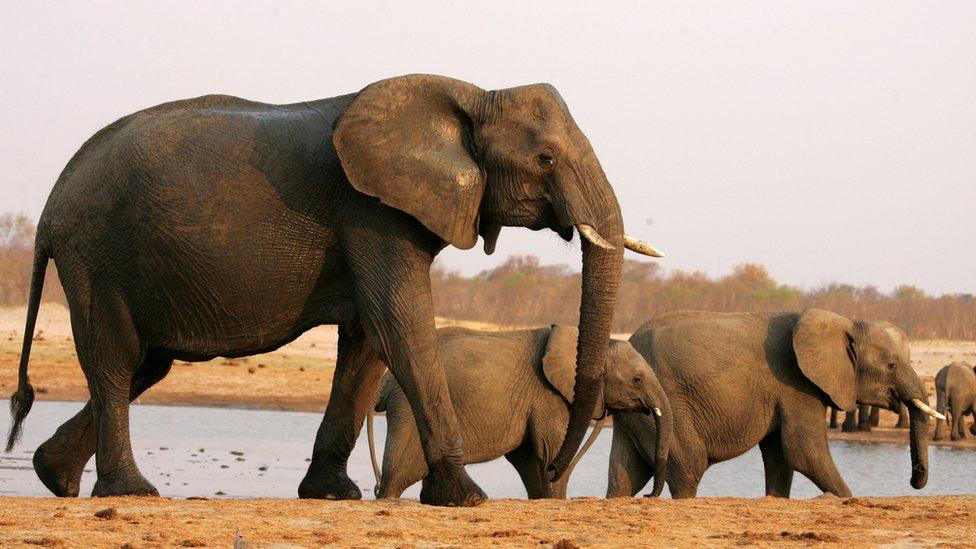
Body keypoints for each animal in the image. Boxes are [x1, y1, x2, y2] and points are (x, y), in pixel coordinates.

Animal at [3, 74, 660, 506]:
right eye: (545, 158)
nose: (552, 462)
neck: (473, 94)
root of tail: (51, 205)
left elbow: (368, 344)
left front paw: (333, 495)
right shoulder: (371, 209)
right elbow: (402, 329)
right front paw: (467, 499)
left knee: (144, 364)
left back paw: (53, 477)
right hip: (98, 254)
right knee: (116, 360)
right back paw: (132, 494)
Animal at [608, 308, 940, 496]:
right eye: (892, 366)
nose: (915, 480)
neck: (847, 322)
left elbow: (781, 455)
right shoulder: (797, 384)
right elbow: (804, 453)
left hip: (637, 412)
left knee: (626, 474)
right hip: (670, 400)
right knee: (689, 467)